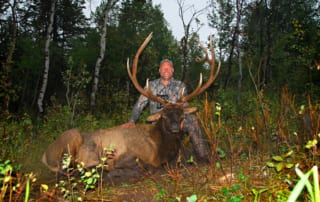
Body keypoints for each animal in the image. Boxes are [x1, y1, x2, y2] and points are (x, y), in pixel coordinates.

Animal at [42, 32, 220, 174]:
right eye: (164, 115)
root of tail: (44, 155)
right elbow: (144, 166)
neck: (160, 148)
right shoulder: (126, 156)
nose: (176, 127)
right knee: (65, 168)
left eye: (181, 114)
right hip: (72, 137)